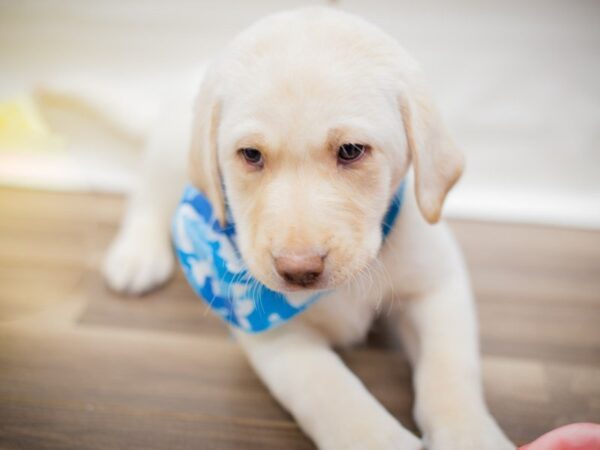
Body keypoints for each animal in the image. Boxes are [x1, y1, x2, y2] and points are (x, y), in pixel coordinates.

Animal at [102, 7, 510, 450]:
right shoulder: (276, 337)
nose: (298, 270)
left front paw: (471, 434)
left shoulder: (438, 284)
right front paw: (380, 439)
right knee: (147, 199)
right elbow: (334, 394)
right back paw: (136, 258)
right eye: (250, 155)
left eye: (351, 150)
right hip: (169, 151)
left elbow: (450, 371)